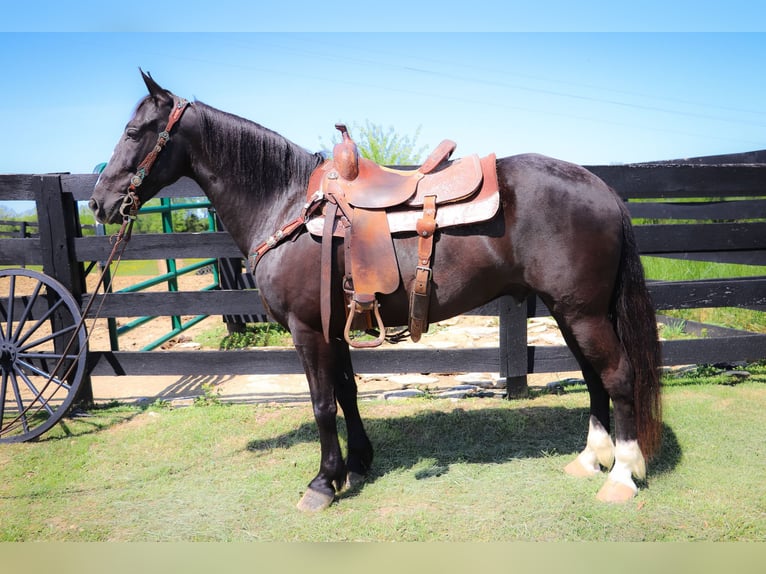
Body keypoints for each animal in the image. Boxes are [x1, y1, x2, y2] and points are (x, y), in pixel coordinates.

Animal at [90, 71, 664, 512]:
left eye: (135, 130)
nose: (99, 203)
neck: (285, 205)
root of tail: (603, 189)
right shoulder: (334, 329)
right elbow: (346, 394)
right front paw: (358, 463)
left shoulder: (307, 330)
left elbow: (322, 404)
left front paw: (323, 483)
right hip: (571, 312)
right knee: (592, 377)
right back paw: (592, 459)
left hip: (583, 312)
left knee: (618, 375)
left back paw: (621, 475)